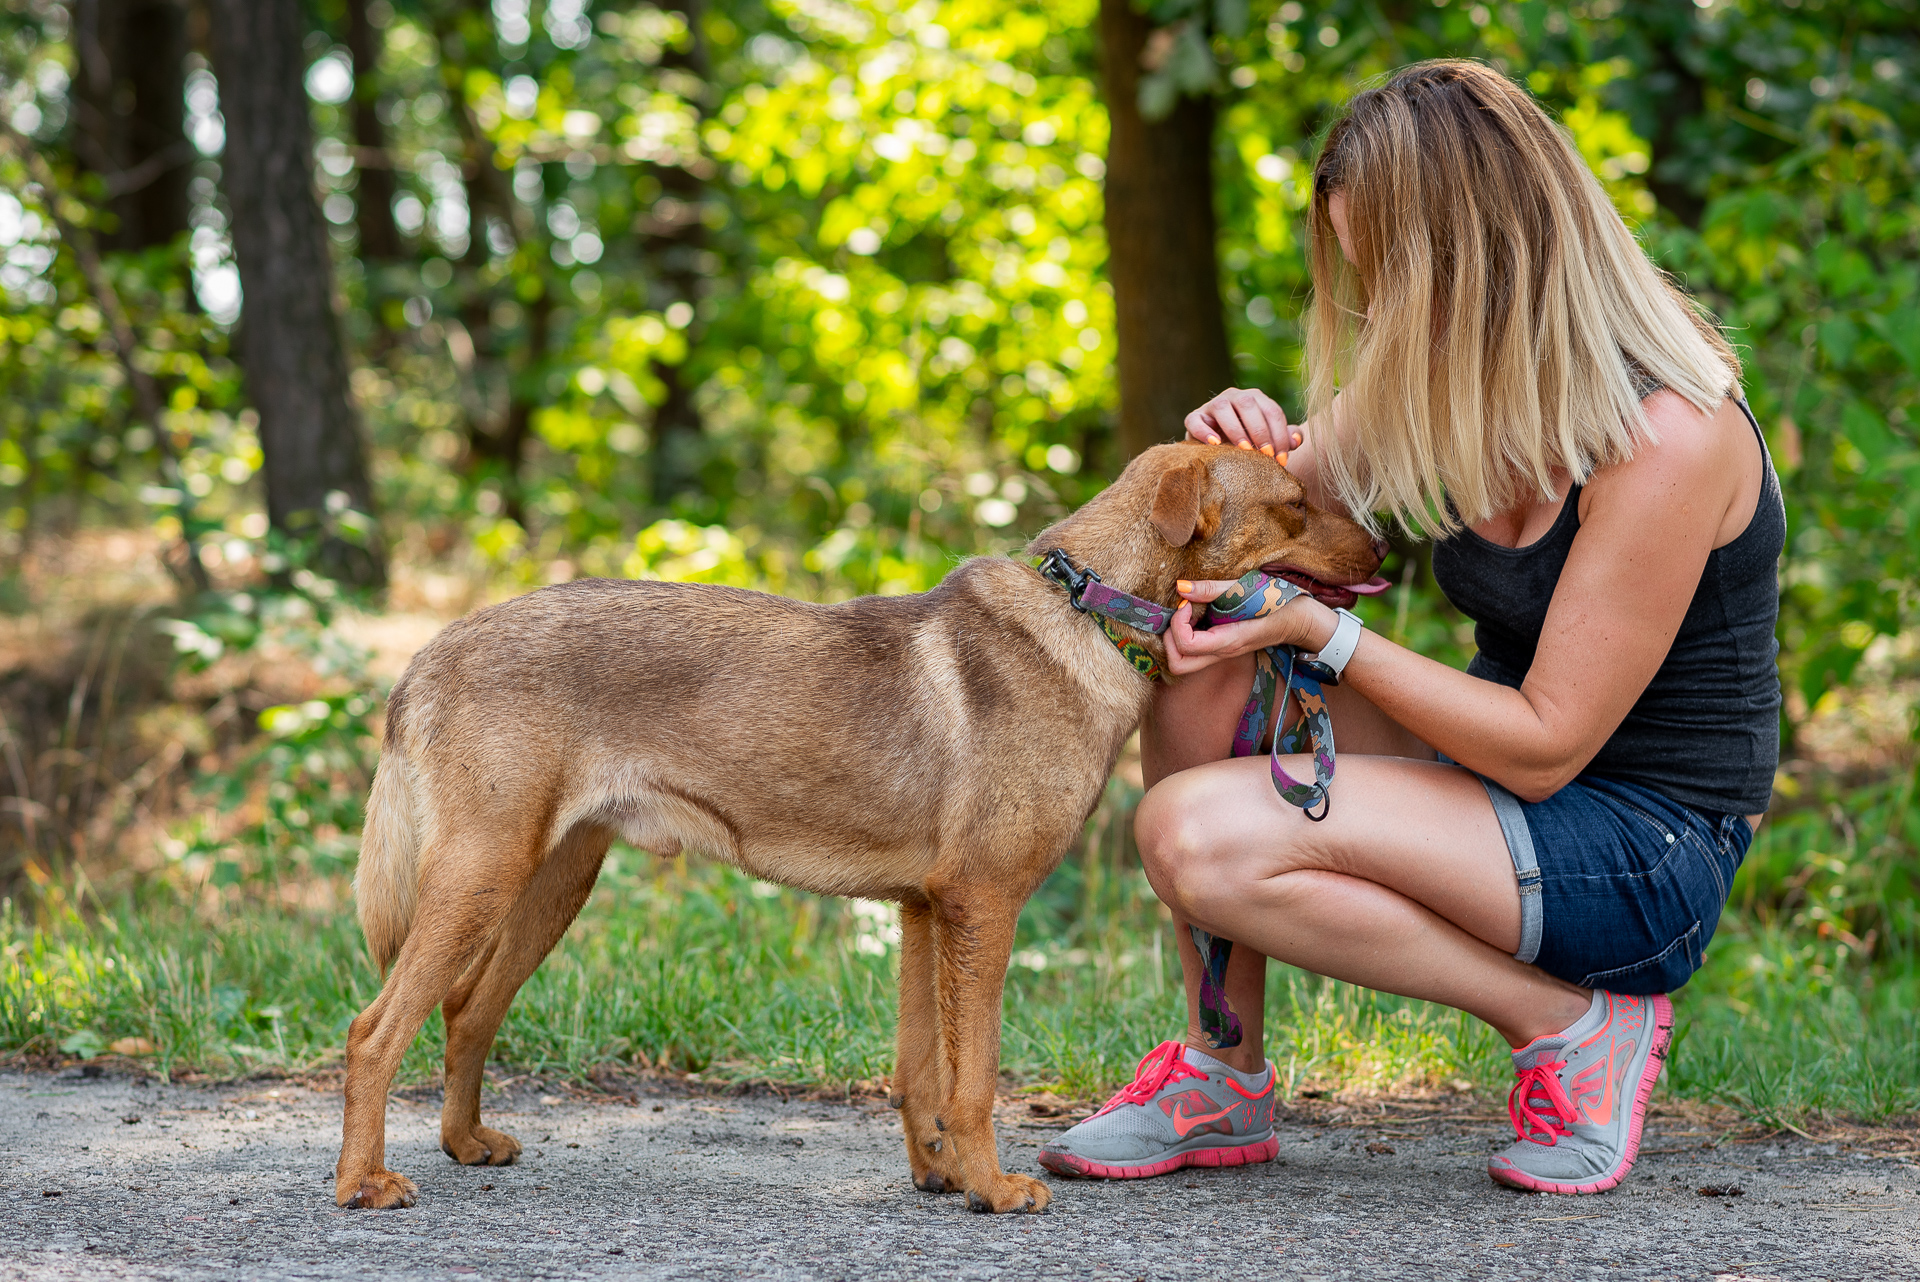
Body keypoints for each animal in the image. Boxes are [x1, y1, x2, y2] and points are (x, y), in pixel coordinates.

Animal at [330, 441, 1382, 1212]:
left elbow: (919, 1071)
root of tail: (429, 653)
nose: (1384, 554)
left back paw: (466, 1143)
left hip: (548, 882)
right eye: (1294, 504)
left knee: (466, 1011)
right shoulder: (982, 908)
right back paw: (364, 1184)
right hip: (485, 873)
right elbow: (973, 1077)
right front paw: (994, 1189)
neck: (1086, 610)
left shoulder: (922, 911)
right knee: (376, 1029)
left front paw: (940, 1176)